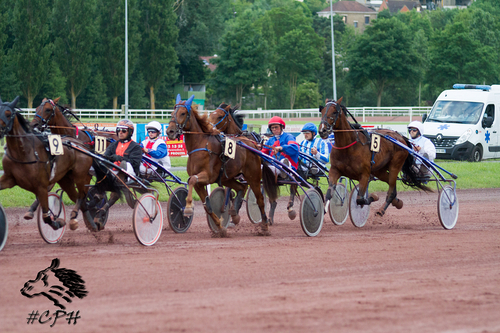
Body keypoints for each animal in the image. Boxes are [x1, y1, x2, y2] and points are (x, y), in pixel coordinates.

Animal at [0, 96, 94, 231]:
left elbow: (46, 216)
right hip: (65, 179)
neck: (24, 151)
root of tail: (80, 145)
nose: (34, 124)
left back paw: (80, 219)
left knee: (82, 195)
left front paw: (57, 223)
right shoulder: (9, 178)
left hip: (80, 175)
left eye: (8, 114)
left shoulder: (41, 186)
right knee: (77, 197)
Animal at [167, 94, 278, 235]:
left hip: (253, 176)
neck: (201, 145)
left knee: (259, 199)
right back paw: (234, 214)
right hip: (227, 178)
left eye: (182, 113)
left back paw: (264, 225)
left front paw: (187, 208)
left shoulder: (207, 176)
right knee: (241, 187)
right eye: (171, 113)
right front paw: (220, 227)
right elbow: (207, 206)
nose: (170, 131)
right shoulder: (200, 183)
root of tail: (252, 145)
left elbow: (192, 180)